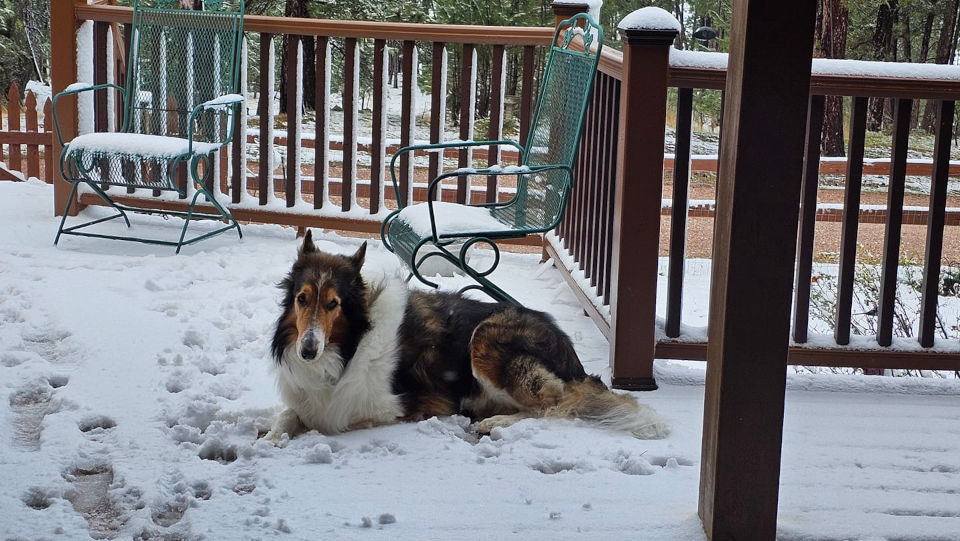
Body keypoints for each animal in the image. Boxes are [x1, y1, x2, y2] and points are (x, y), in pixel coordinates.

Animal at [260, 229, 668, 442]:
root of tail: (573, 358)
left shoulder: (394, 405)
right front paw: (272, 437)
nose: (308, 350)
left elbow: (335, 420)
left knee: (554, 405)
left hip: (486, 338)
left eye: (334, 304)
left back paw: (493, 423)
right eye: (302, 298)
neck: (349, 345)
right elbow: (288, 415)